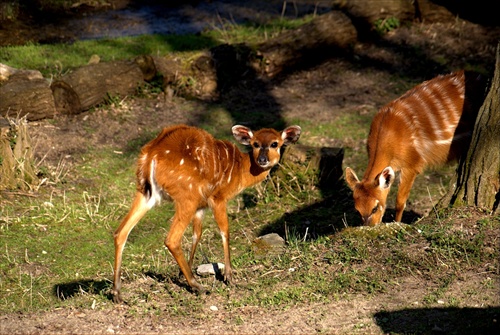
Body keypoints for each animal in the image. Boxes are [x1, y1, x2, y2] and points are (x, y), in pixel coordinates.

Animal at [113, 124, 300, 304]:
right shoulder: (218, 198)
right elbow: (224, 231)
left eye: (275, 143)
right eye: (255, 144)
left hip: (146, 193)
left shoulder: (201, 207)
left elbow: (197, 234)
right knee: (172, 239)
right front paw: (229, 277)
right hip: (187, 196)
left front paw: (182, 273)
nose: (262, 160)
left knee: (120, 232)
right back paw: (197, 286)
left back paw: (117, 294)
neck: (241, 170)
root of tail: (151, 155)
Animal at [346, 71, 486, 228]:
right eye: (357, 210)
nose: (370, 226)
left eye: (375, 207)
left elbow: (400, 202)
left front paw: (397, 223)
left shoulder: (412, 163)